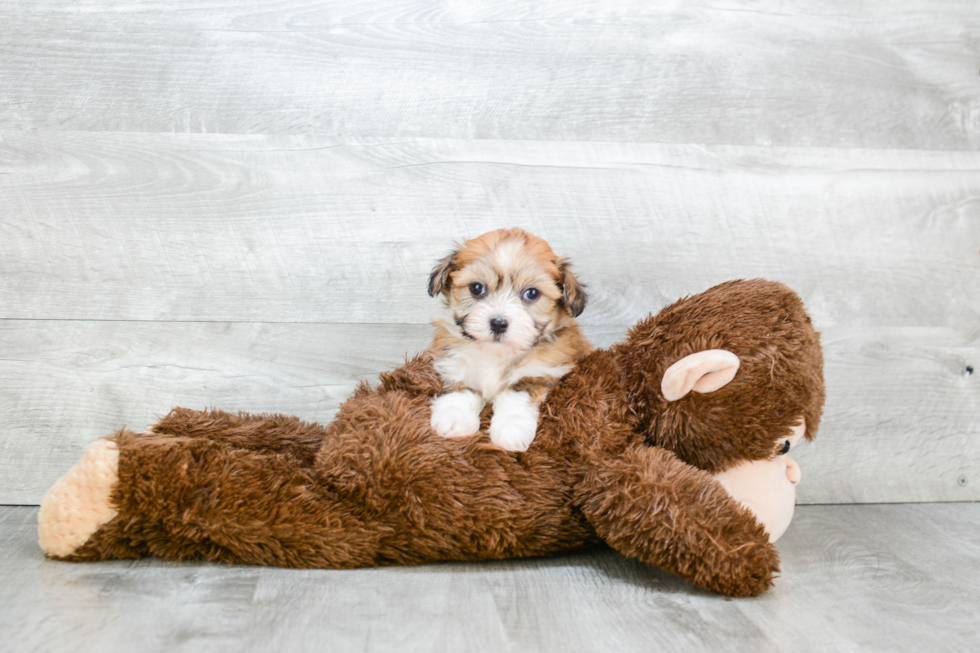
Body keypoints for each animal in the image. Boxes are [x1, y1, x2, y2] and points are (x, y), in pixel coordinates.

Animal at [426, 228, 588, 448]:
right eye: (476, 288)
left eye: (532, 293)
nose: (498, 323)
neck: (496, 353)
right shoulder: (454, 363)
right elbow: (461, 390)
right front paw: (454, 418)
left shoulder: (538, 373)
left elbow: (515, 398)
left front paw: (511, 430)